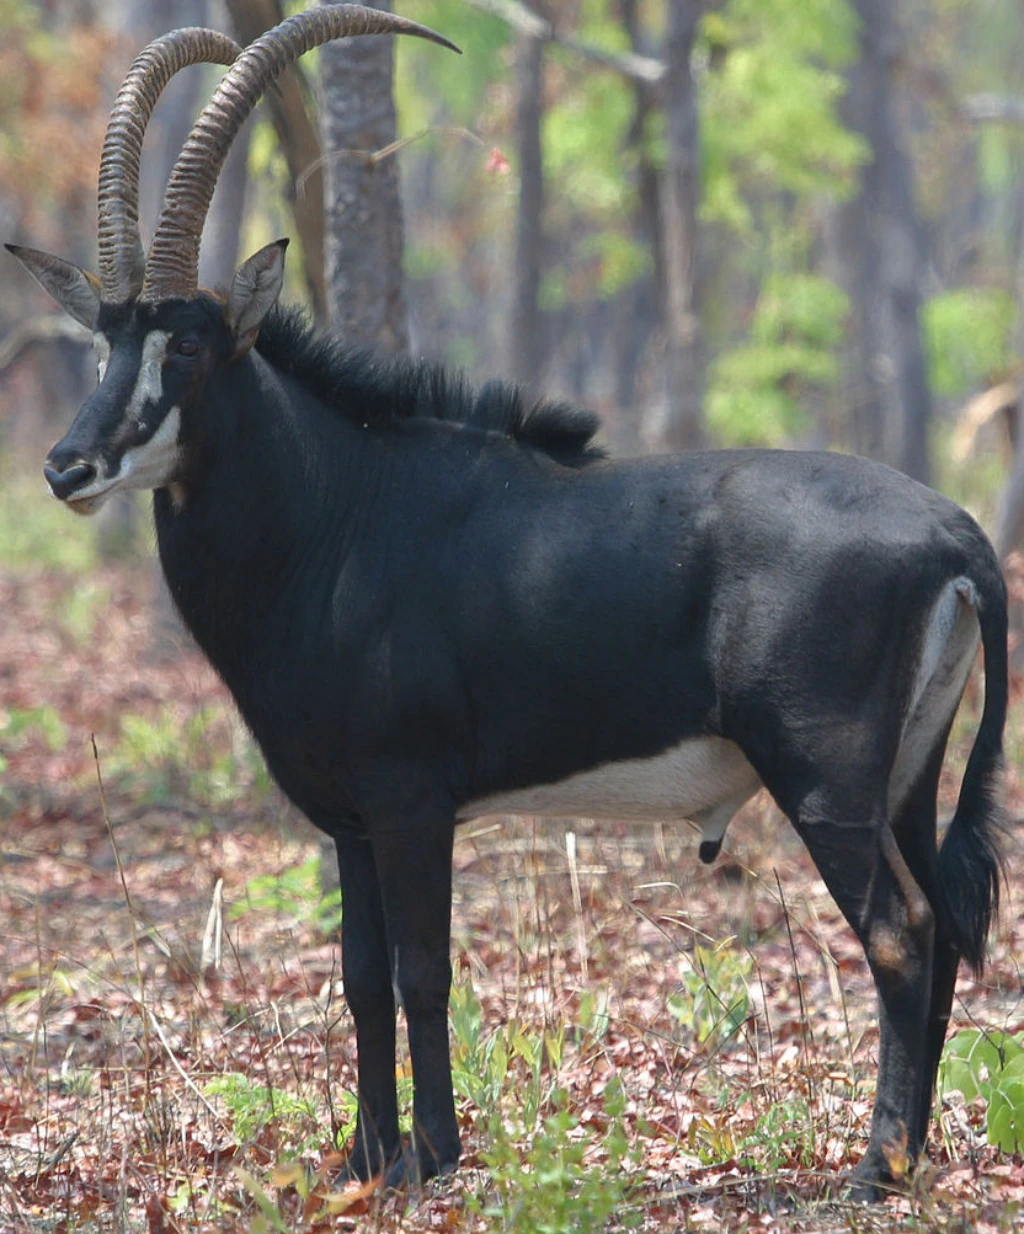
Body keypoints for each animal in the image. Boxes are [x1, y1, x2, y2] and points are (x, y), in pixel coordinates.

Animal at [8, 4, 1006, 1201]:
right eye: (104, 340)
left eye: (189, 343)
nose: (67, 466)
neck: (337, 512)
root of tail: (954, 531)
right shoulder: (350, 818)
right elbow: (358, 974)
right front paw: (364, 1157)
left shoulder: (412, 799)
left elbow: (422, 970)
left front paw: (431, 1157)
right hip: (906, 777)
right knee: (943, 927)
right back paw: (912, 1156)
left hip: (826, 781)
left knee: (900, 931)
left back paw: (874, 1169)